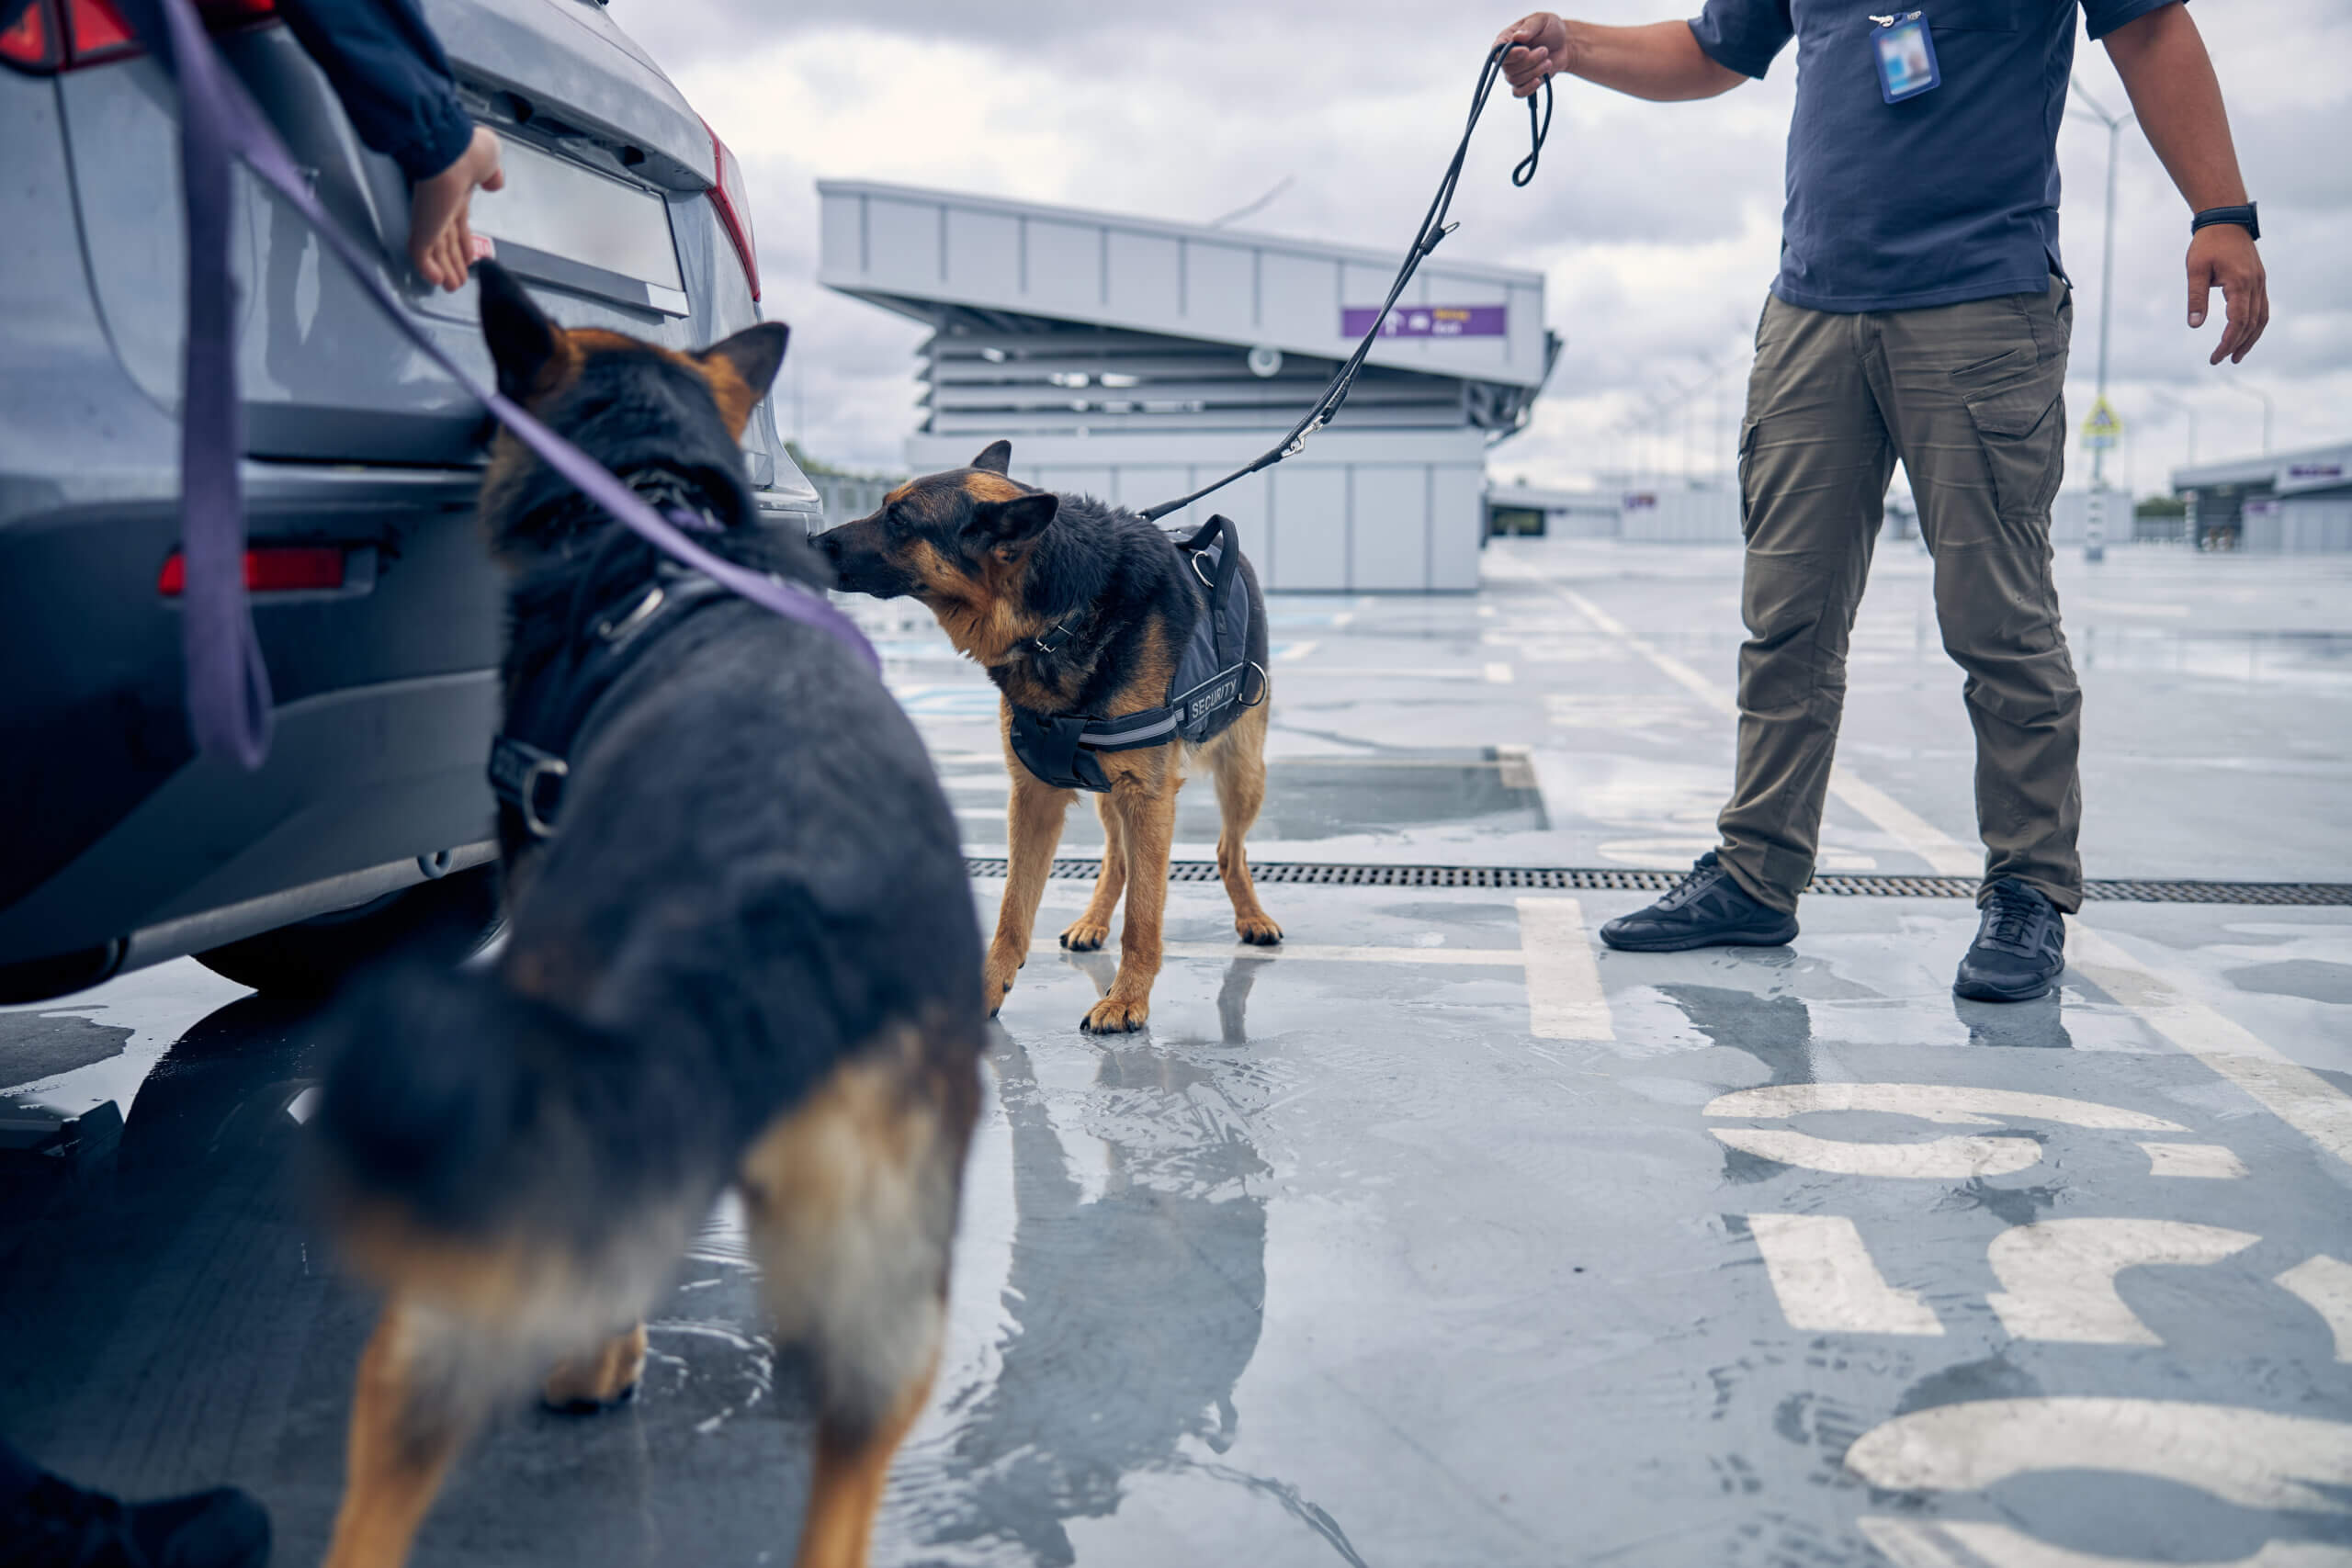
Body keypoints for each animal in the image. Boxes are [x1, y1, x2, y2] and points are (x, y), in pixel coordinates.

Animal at [310, 266, 983, 1568]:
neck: (655, 510)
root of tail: (778, 905)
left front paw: (599, 1366)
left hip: (490, 1229)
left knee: (389, 1466)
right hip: (884, 1276)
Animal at [813, 442, 1288, 1034]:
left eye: (899, 520)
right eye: (883, 507)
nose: (810, 542)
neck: (1061, 617)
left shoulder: (1148, 796)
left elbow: (1144, 915)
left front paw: (1127, 999)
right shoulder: (1035, 796)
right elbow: (1013, 910)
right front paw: (988, 989)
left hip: (1242, 773)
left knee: (1228, 849)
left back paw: (1252, 916)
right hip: (1114, 792)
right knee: (1118, 859)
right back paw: (1093, 921)